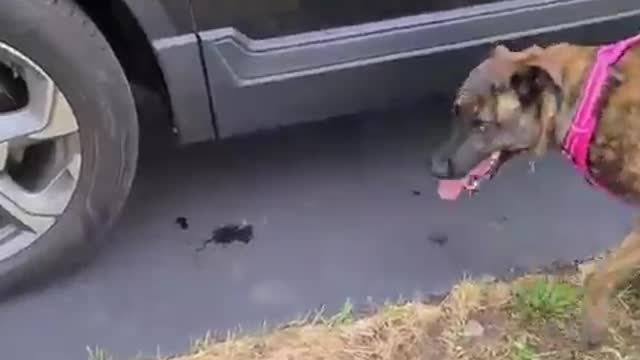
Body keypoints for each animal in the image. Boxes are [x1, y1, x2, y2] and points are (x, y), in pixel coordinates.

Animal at [430, 38, 640, 346]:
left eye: (481, 125)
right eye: (456, 114)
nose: (435, 168)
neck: (589, 103)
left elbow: (598, 278)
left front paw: (594, 325)